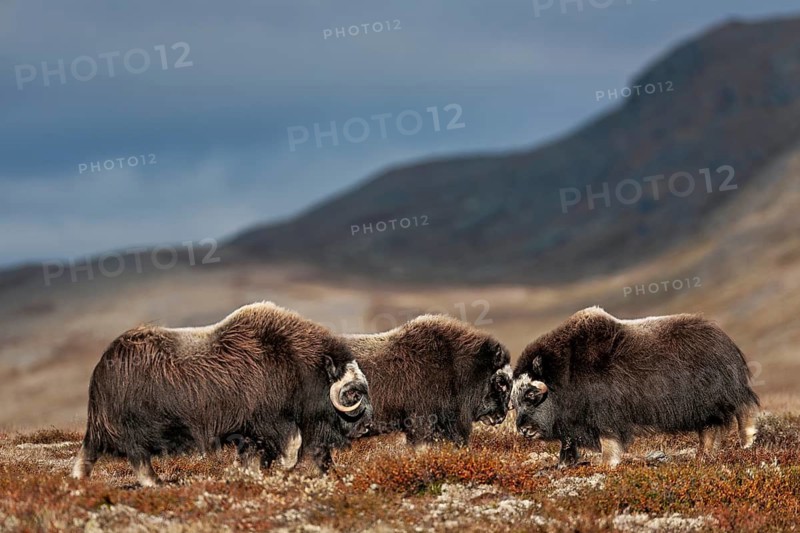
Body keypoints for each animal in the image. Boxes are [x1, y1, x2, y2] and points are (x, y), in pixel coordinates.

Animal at [71, 302, 373, 486]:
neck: (296, 363)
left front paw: (249, 474)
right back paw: (154, 482)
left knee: (89, 451)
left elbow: (255, 454)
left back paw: (79, 483)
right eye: (352, 392)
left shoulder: (252, 430)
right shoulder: (271, 419)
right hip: (135, 427)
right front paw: (280, 472)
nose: (367, 426)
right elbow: (292, 447)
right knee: (137, 455)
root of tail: (104, 363)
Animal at [512, 307, 760, 468]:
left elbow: (608, 441)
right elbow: (567, 444)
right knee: (709, 429)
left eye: (531, 395)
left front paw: (606, 464)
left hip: (722, 394)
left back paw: (747, 443)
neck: (565, 371)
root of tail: (724, 339)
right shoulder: (572, 424)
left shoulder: (605, 415)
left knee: (743, 409)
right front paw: (563, 466)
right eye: (513, 403)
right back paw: (703, 456)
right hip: (704, 407)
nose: (523, 429)